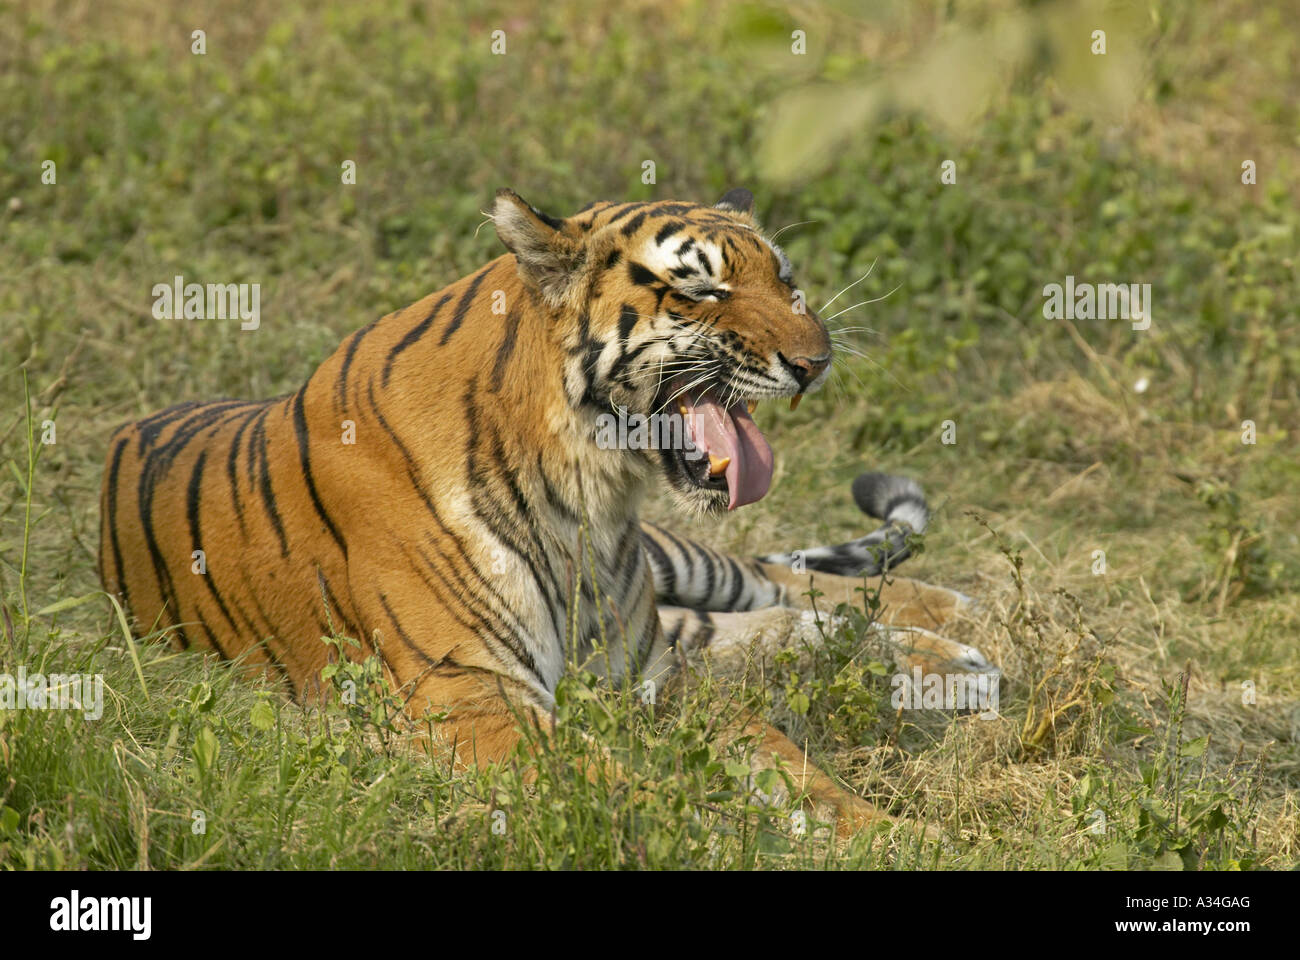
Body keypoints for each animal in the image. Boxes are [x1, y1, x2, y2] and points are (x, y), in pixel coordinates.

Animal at [98, 187, 998, 834]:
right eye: (704, 289)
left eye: (787, 281)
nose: (817, 362)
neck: (589, 495)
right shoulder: (469, 694)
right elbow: (622, 783)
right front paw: (729, 830)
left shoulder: (645, 676)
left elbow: (784, 759)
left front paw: (889, 833)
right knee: (766, 621)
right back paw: (953, 661)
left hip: (678, 563)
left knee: (777, 585)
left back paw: (956, 634)